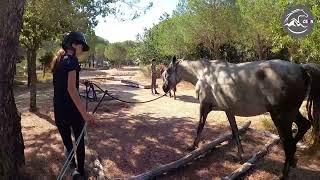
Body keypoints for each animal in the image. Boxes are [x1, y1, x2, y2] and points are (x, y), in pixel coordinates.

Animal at [162, 56, 320, 179]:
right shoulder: (228, 110)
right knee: (304, 126)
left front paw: (192, 147)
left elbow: (200, 126)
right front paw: (240, 156)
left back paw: (284, 174)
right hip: (291, 113)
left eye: (168, 72)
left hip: (281, 117)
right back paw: (293, 161)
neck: (204, 74)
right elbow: (235, 132)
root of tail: (301, 68)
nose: (164, 88)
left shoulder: (204, 106)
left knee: (289, 145)